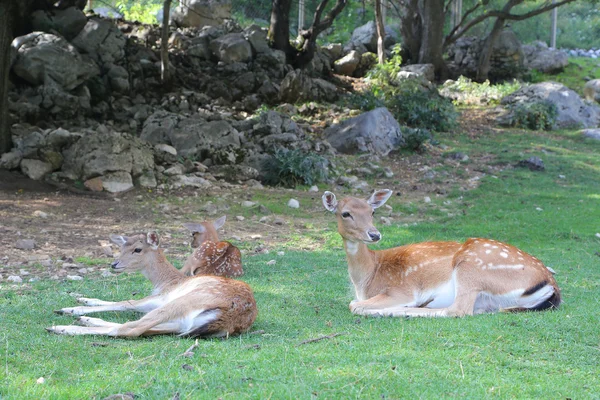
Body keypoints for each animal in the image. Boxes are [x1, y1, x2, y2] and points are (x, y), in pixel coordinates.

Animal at [44, 231, 255, 338]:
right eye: (121, 247)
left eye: (137, 249)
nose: (114, 264)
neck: (166, 281)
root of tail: (231, 318)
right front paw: (82, 300)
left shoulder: (160, 297)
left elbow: (126, 303)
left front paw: (71, 308)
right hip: (186, 321)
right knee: (149, 327)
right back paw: (85, 321)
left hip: (185, 301)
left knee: (132, 329)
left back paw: (61, 327)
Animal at [324, 189, 564, 318]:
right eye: (345, 213)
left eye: (372, 211)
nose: (374, 234)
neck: (367, 278)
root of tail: (551, 284)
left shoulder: (400, 289)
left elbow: (353, 304)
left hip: (471, 267)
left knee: (457, 310)